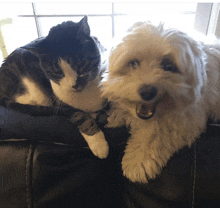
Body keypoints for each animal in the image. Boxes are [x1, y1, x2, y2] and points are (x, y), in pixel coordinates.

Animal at [0, 15, 109, 159]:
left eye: (81, 64)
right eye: (57, 71)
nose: (74, 84)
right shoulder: (61, 104)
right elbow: (79, 116)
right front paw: (99, 145)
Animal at [102, 21, 220, 183]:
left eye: (169, 67)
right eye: (133, 63)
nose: (147, 92)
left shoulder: (187, 121)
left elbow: (156, 136)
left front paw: (139, 160)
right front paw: (117, 115)